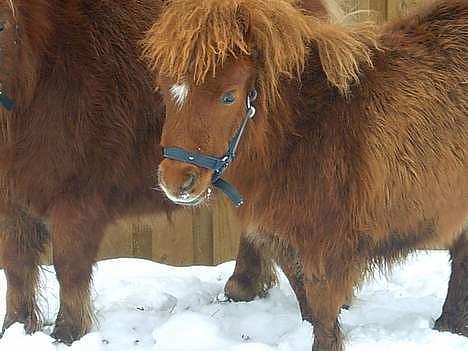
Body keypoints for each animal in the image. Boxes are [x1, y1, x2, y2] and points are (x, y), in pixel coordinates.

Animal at [144, 1, 468, 350]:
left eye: (228, 96)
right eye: (165, 89)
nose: (177, 181)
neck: (304, 129)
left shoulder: (326, 250)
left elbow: (323, 316)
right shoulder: (280, 240)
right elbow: (306, 303)